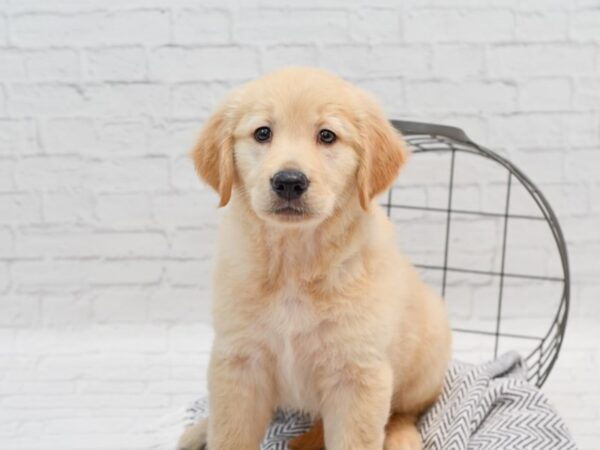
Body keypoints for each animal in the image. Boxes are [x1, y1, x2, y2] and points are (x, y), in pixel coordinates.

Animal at [178, 67, 450, 450]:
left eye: (327, 136)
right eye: (263, 133)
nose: (289, 182)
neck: (294, 262)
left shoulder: (358, 374)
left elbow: (355, 440)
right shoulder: (238, 361)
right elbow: (229, 434)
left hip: (426, 360)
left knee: (406, 410)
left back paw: (399, 437)